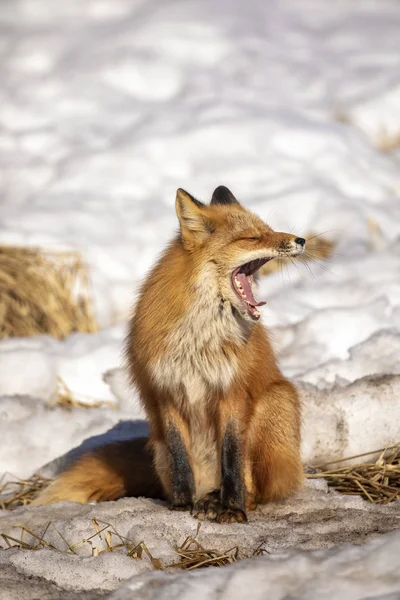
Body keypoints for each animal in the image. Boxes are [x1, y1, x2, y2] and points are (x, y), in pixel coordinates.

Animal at [32, 185, 304, 524]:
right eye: (253, 237)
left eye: (267, 230)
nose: (301, 240)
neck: (198, 338)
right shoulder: (166, 393)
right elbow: (181, 459)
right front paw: (181, 505)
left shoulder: (232, 392)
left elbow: (232, 458)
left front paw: (232, 507)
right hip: (158, 445)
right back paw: (200, 499)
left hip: (275, 401)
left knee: (256, 487)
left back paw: (221, 501)